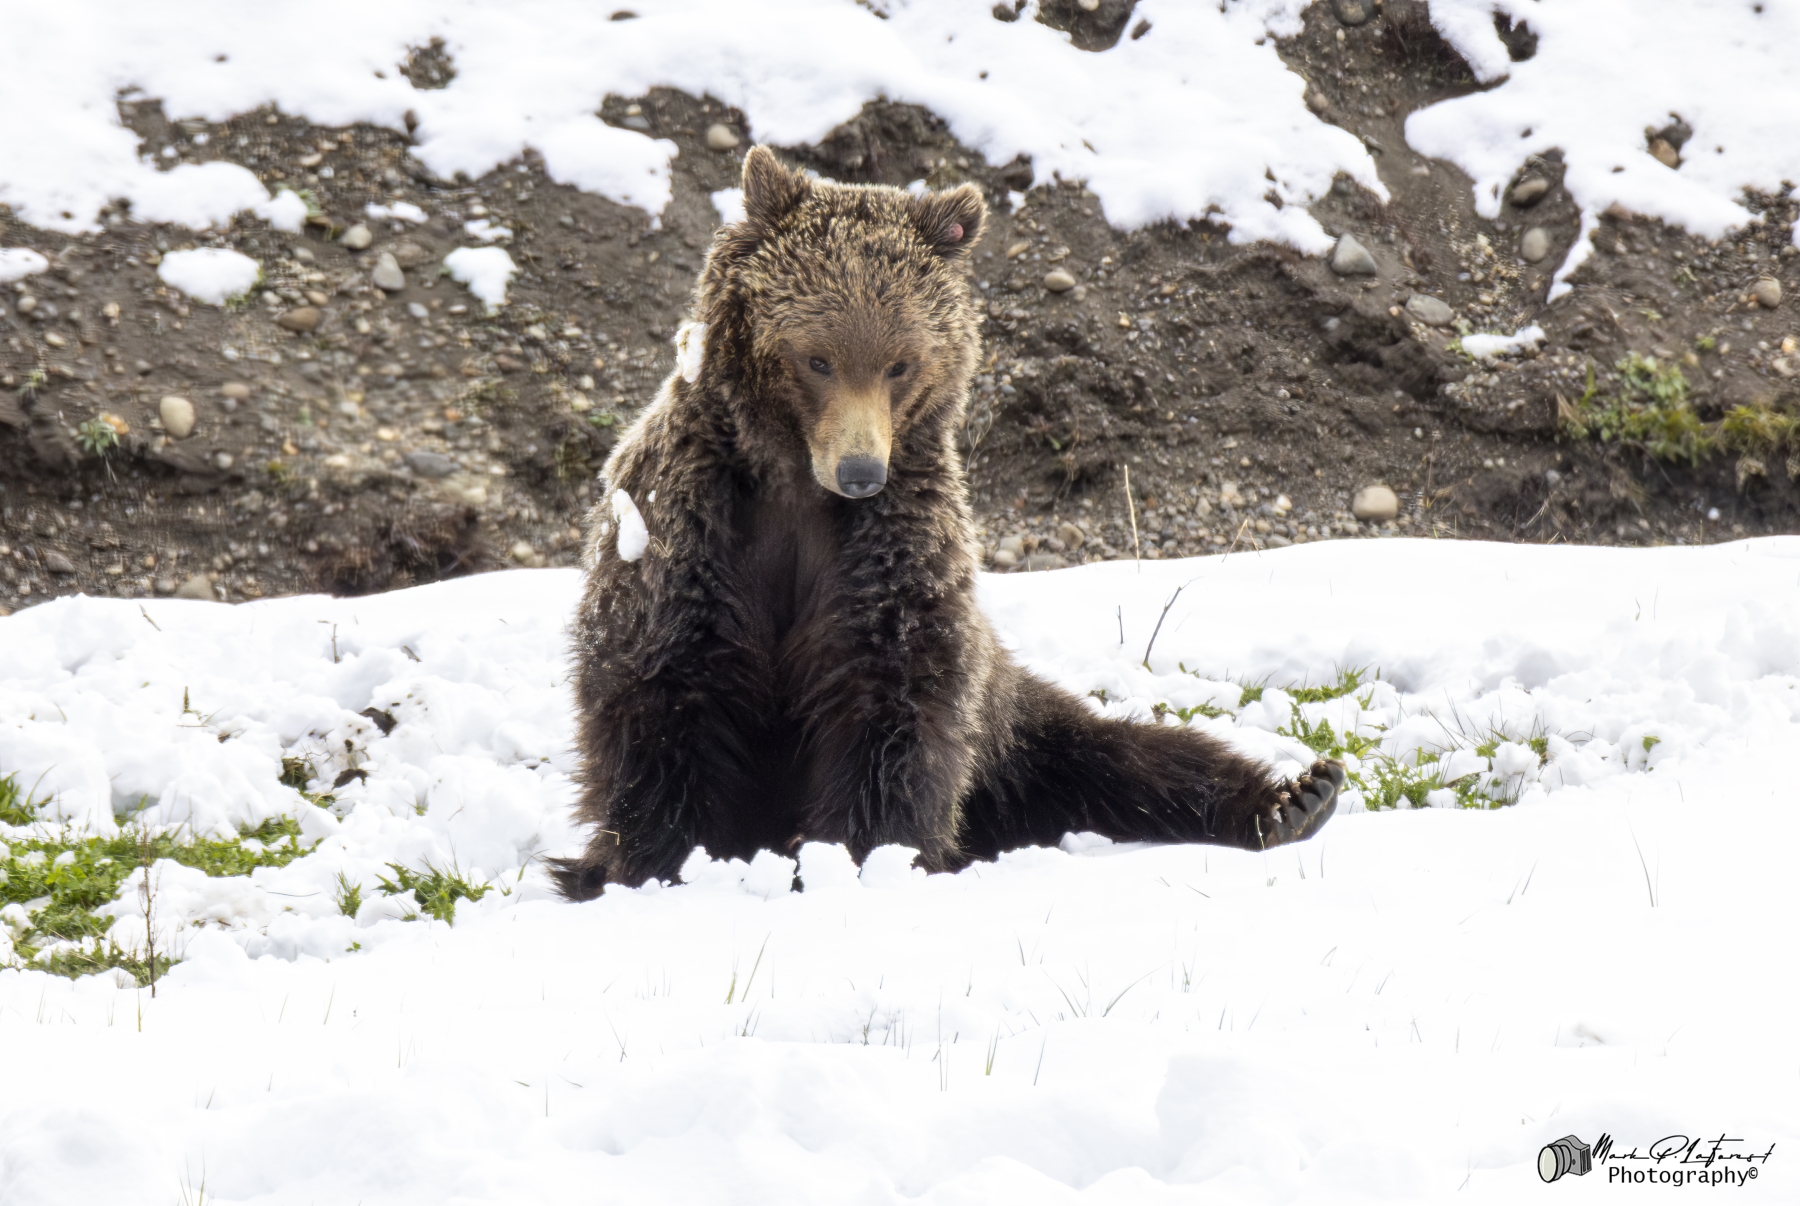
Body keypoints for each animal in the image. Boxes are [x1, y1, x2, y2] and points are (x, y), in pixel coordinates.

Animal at [552, 147, 1341, 899]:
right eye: (817, 358)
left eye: (900, 363)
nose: (860, 473)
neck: (794, 483)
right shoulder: (691, 526)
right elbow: (665, 687)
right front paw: (659, 864)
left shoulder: (894, 546)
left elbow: (894, 689)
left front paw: (872, 854)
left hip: (1005, 723)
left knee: (1117, 755)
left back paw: (1294, 798)